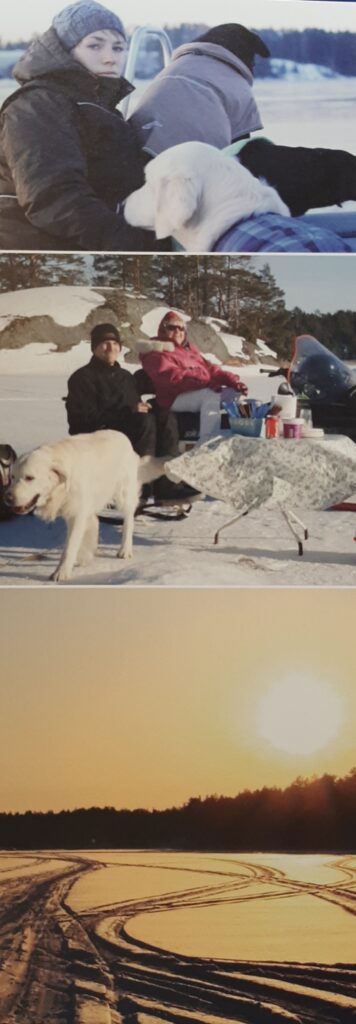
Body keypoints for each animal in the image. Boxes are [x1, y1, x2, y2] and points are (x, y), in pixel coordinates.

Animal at [6, 428, 165, 581]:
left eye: (29, 478)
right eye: (12, 477)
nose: (7, 498)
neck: (61, 487)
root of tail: (126, 441)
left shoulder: (76, 515)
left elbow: (70, 547)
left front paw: (61, 572)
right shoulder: (77, 510)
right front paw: (81, 559)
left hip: (123, 495)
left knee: (129, 520)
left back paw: (125, 550)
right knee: (95, 521)